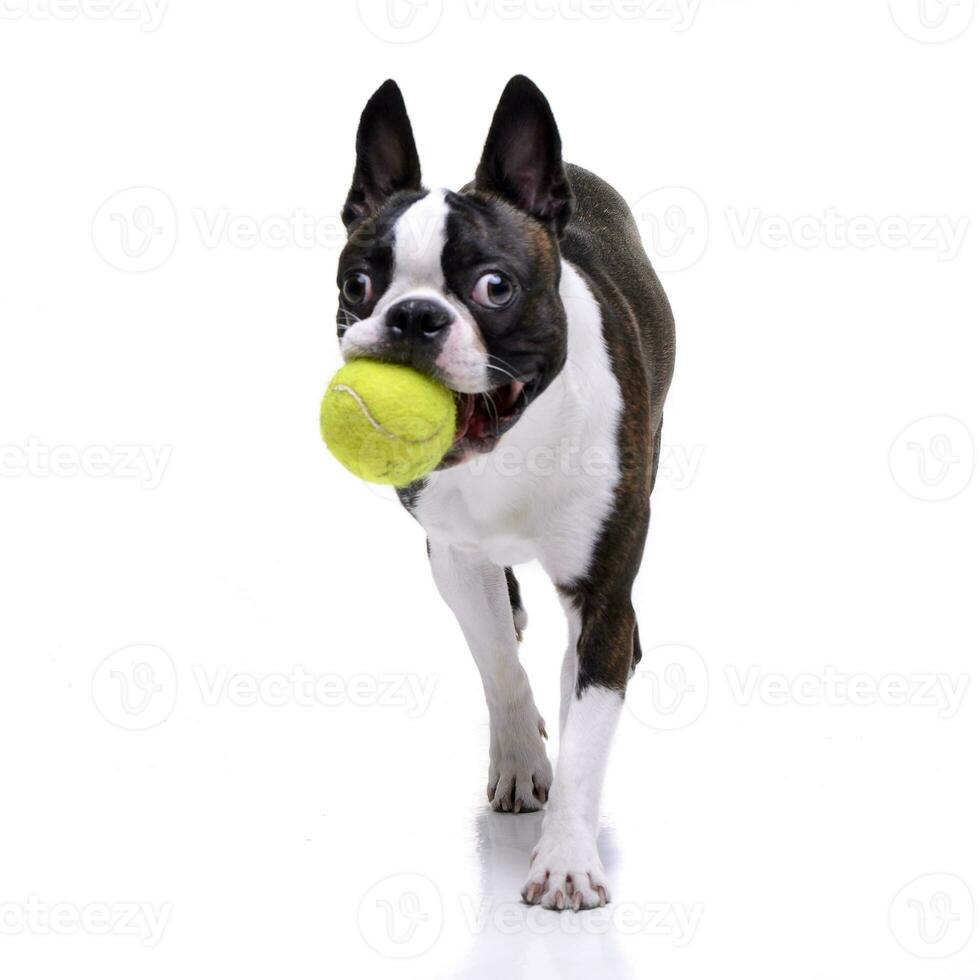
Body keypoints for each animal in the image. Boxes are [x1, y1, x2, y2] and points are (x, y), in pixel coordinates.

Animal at [336, 76, 672, 912]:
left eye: (495, 287)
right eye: (358, 285)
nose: (413, 316)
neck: (508, 447)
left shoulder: (601, 595)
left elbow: (587, 729)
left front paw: (567, 858)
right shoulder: (454, 556)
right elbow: (496, 662)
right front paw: (521, 760)